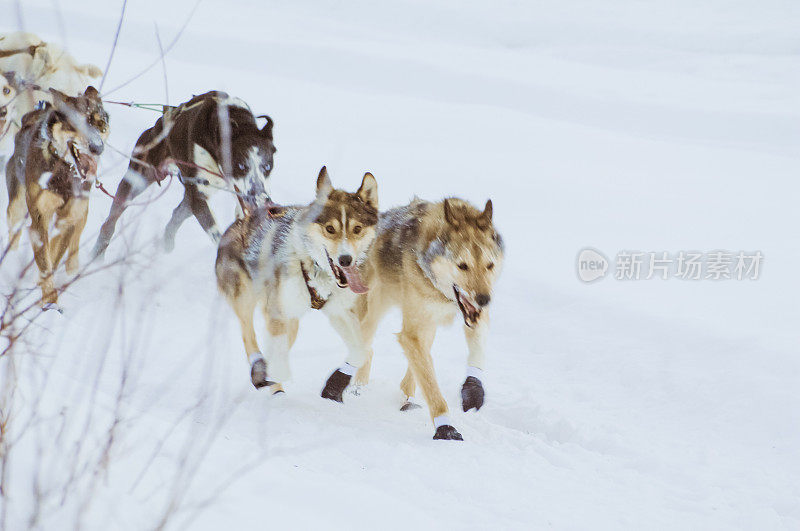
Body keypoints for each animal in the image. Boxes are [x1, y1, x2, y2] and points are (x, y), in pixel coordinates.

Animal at [5, 85, 109, 310]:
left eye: (101, 124)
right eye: (77, 122)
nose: (98, 148)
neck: (65, 172)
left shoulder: (68, 219)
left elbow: (54, 252)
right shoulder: (39, 217)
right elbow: (46, 262)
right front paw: (50, 303)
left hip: (81, 214)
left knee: (73, 243)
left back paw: (72, 270)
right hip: (17, 206)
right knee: (15, 231)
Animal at [92, 92, 276, 260]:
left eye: (267, 166)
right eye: (241, 165)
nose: (262, 198)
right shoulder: (199, 197)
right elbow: (219, 236)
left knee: (178, 213)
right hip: (137, 180)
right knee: (110, 221)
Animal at [217, 168, 380, 392]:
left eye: (357, 229)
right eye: (330, 229)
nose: (345, 260)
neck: (311, 264)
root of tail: (243, 217)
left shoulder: (338, 312)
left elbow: (361, 351)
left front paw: (339, 380)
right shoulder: (277, 312)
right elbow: (277, 361)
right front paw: (276, 377)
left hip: (293, 321)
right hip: (246, 296)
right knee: (248, 333)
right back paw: (261, 371)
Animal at [320, 198, 504, 440]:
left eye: (489, 266)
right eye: (462, 266)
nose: (484, 300)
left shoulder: (470, 318)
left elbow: (476, 353)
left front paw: (473, 390)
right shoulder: (412, 332)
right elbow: (432, 386)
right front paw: (445, 427)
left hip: (425, 323)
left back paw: (407, 399)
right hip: (373, 313)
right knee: (364, 349)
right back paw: (349, 386)